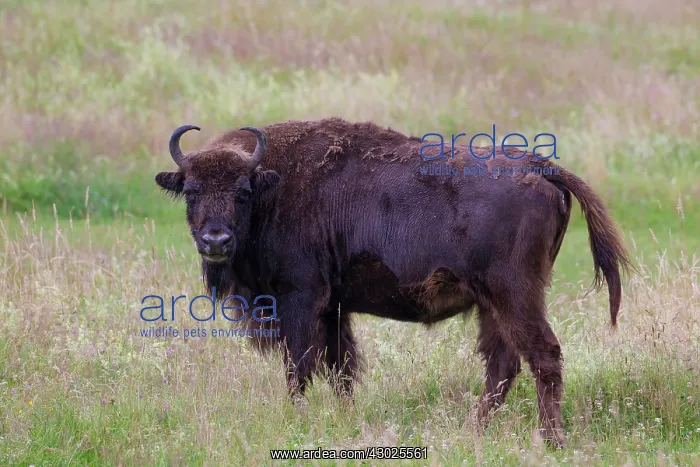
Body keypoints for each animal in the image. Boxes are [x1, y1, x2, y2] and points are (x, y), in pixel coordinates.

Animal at [154, 117, 632, 448]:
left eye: (242, 192)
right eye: (191, 192)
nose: (216, 240)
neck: (274, 185)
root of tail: (538, 165)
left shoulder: (300, 299)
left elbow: (301, 365)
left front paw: (295, 418)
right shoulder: (334, 308)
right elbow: (340, 367)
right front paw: (344, 418)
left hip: (514, 295)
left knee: (543, 356)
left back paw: (550, 441)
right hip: (494, 304)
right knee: (503, 364)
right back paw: (473, 432)